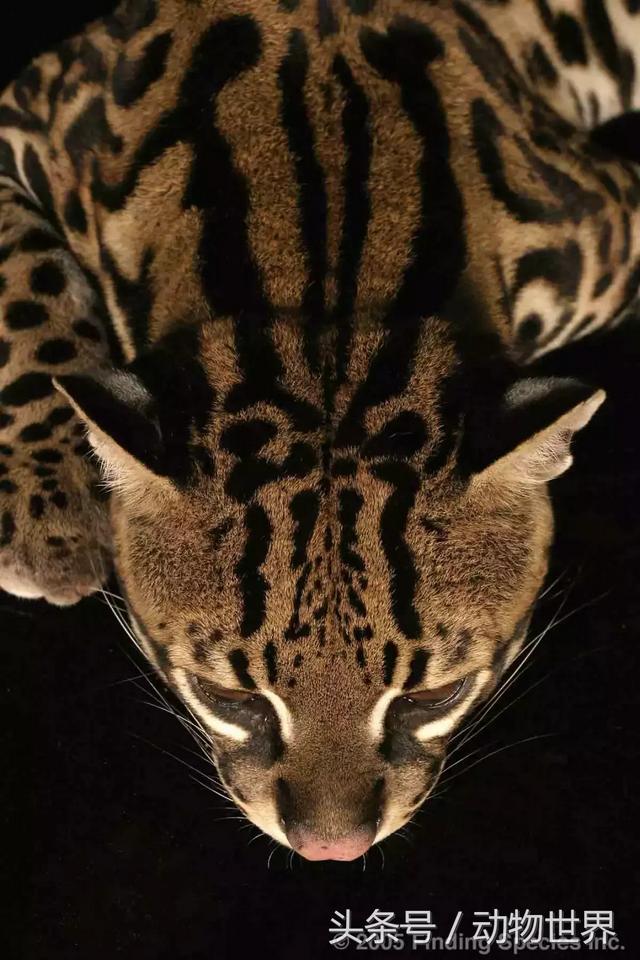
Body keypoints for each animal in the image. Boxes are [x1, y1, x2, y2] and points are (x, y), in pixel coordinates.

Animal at [1, 0, 639, 860]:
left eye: (434, 695)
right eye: (227, 697)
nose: (329, 850)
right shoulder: (33, 108)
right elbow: (26, 280)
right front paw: (55, 499)